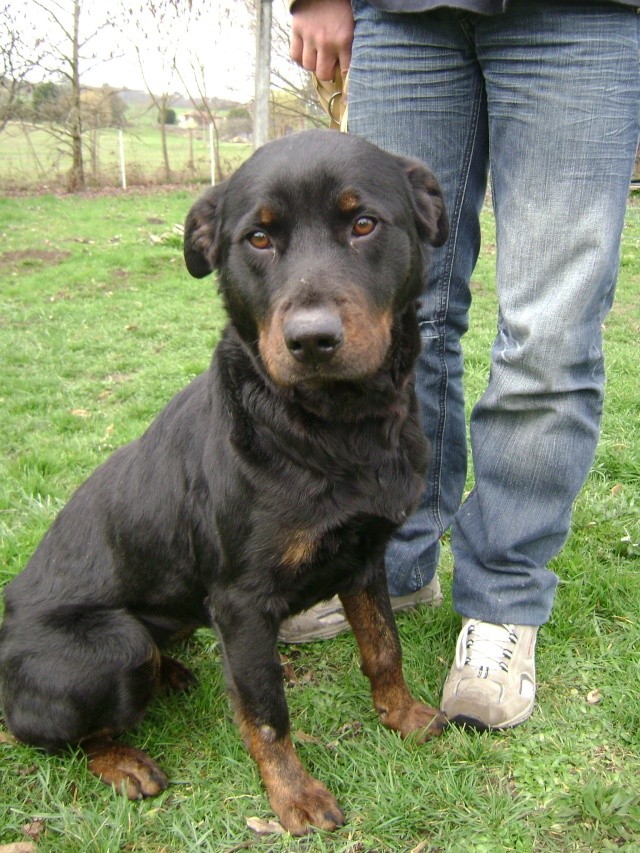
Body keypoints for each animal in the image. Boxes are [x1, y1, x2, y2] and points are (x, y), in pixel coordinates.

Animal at [0, 130, 448, 836]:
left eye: (364, 224)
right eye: (257, 239)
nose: (311, 340)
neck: (331, 431)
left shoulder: (364, 558)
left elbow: (383, 648)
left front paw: (403, 717)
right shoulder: (241, 603)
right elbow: (266, 712)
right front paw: (293, 797)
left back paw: (171, 676)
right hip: (112, 645)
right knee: (43, 732)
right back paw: (123, 760)